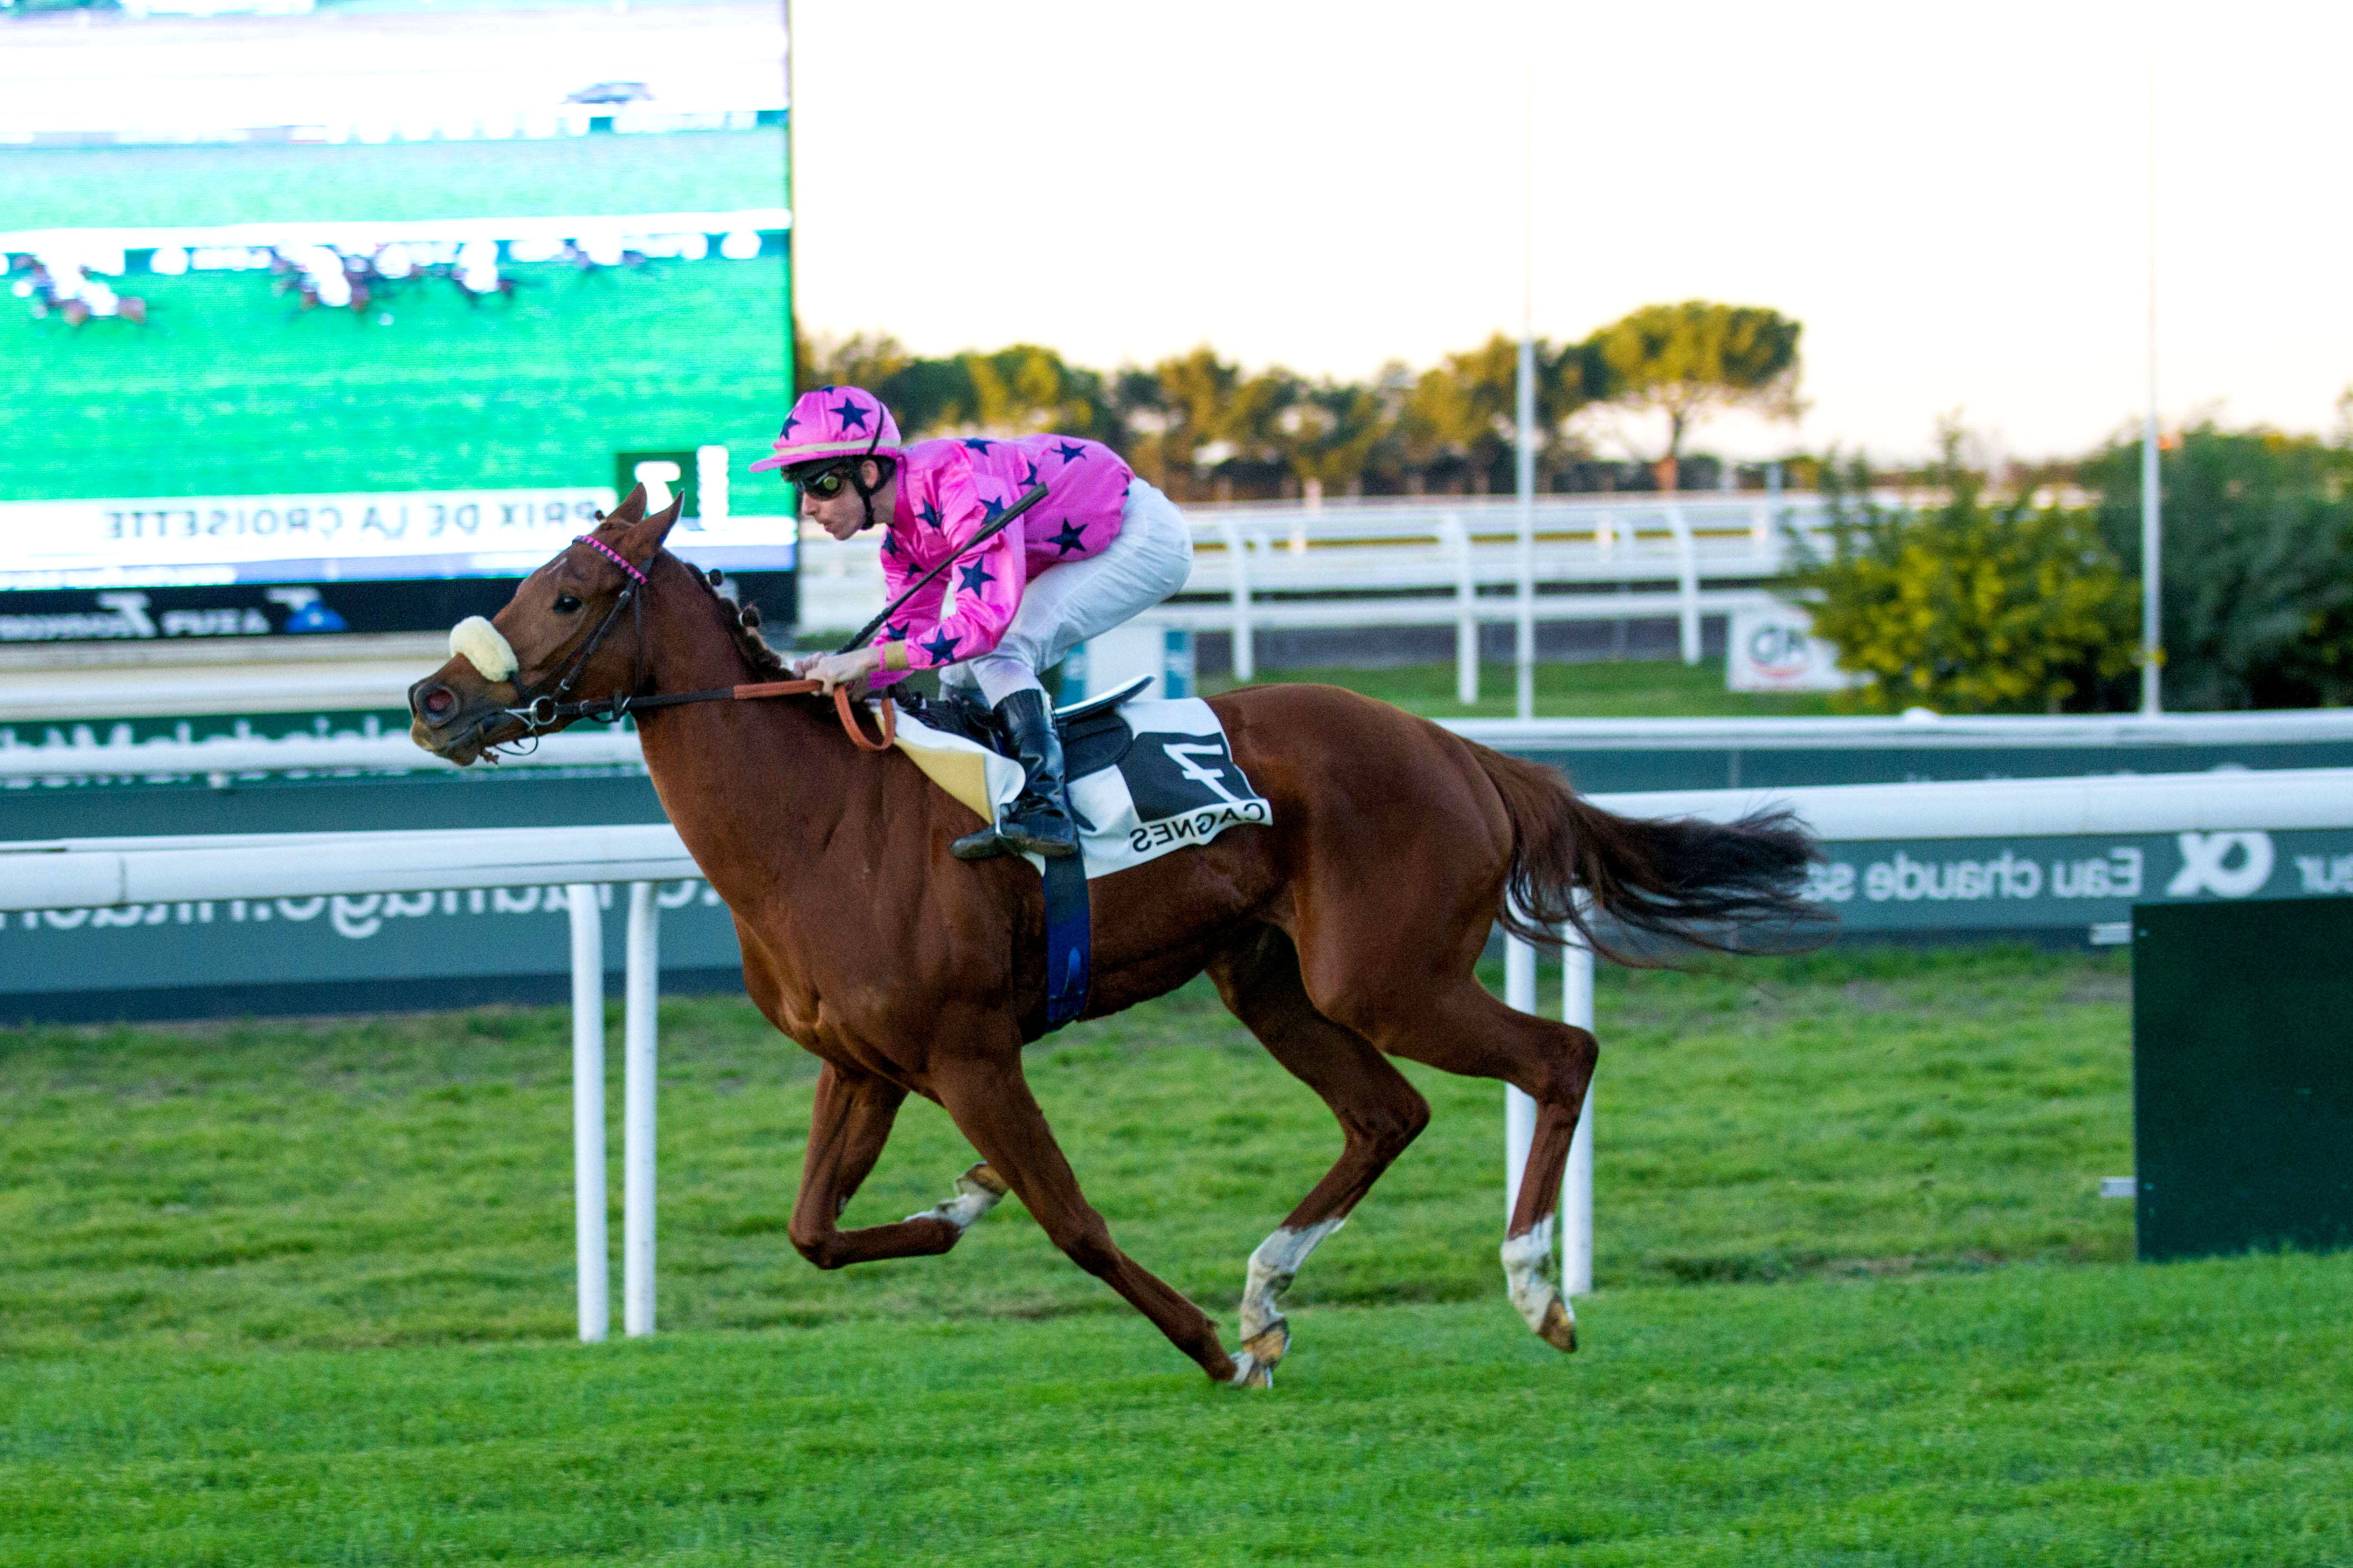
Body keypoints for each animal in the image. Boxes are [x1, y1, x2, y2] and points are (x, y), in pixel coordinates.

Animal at [409, 486, 1816, 1382]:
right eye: (525, 583)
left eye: (568, 596)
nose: (430, 699)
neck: (818, 824)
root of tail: (1460, 749)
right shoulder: (864, 1063)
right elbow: (814, 1231)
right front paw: (965, 1198)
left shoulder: (972, 1053)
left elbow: (1075, 1222)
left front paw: (1203, 1350)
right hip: (1271, 979)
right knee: (1387, 1114)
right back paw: (1267, 1290)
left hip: (1386, 972)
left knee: (1557, 1056)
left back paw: (1530, 1288)